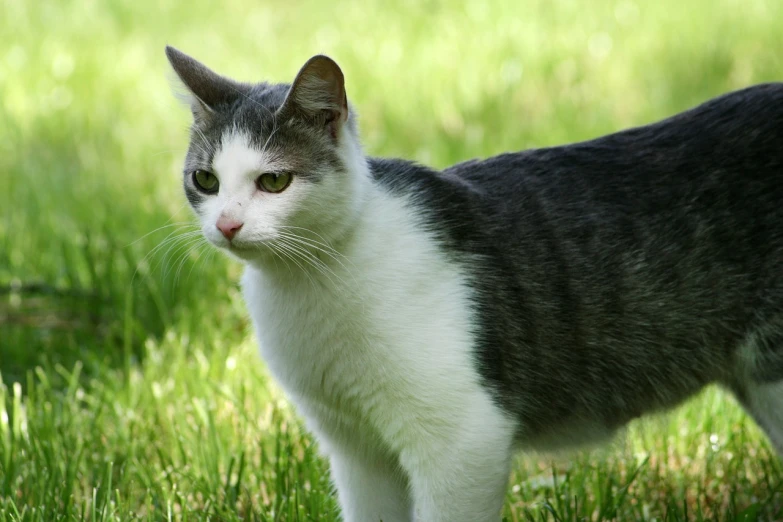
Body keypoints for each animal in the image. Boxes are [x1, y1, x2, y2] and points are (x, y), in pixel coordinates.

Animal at [164, 45, 783, 520]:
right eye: (205, 179)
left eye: (273, 181)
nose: (227, 224)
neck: (307, 284)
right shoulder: (356, 450)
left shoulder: (462, 440)